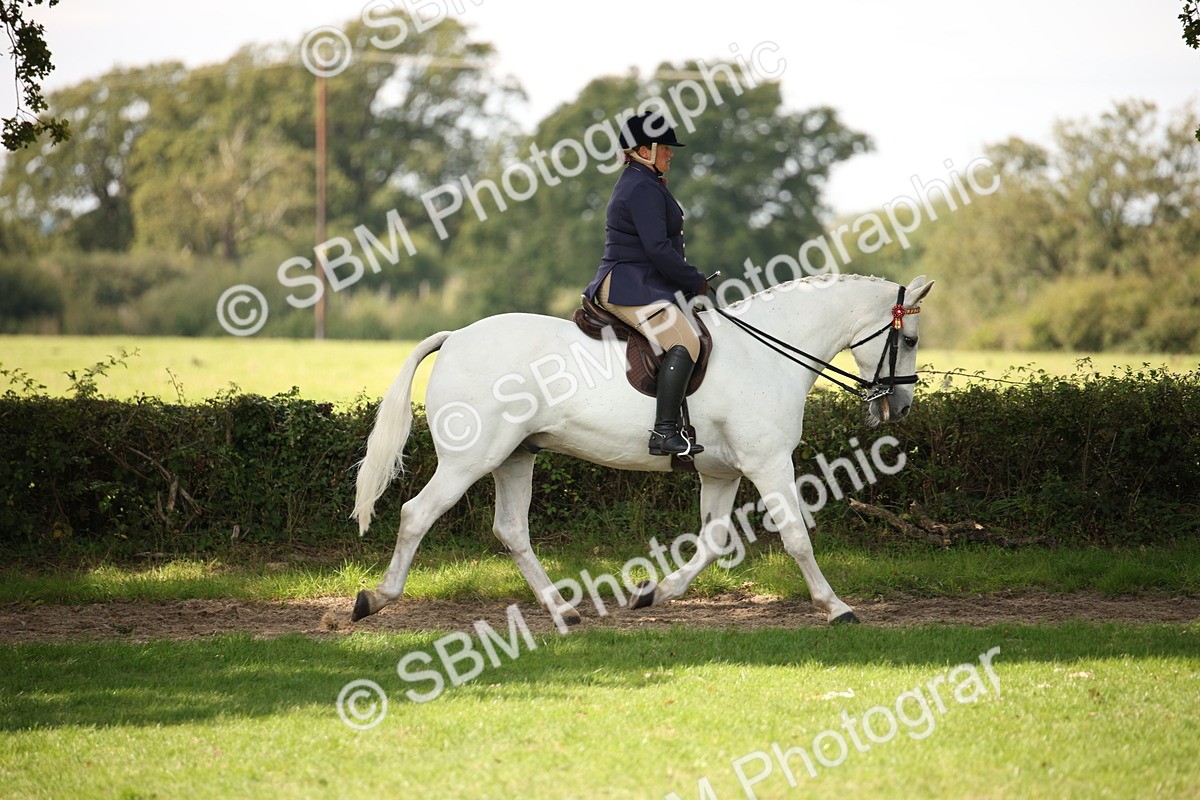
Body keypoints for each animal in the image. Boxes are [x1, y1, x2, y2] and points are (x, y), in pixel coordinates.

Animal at [351, 273, 935, 627]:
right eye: (909, 341)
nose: (902, 407)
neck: (768, 352)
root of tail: (455, 337)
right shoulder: (769, 464)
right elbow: (796, 536)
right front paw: (835, 607)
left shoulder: (721, 473)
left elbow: (713, 542)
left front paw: (654, 593)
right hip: (470, 460)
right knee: (417, 514)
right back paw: (374, 598)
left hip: (516, 457)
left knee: (511, 530)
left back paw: (562, 611)